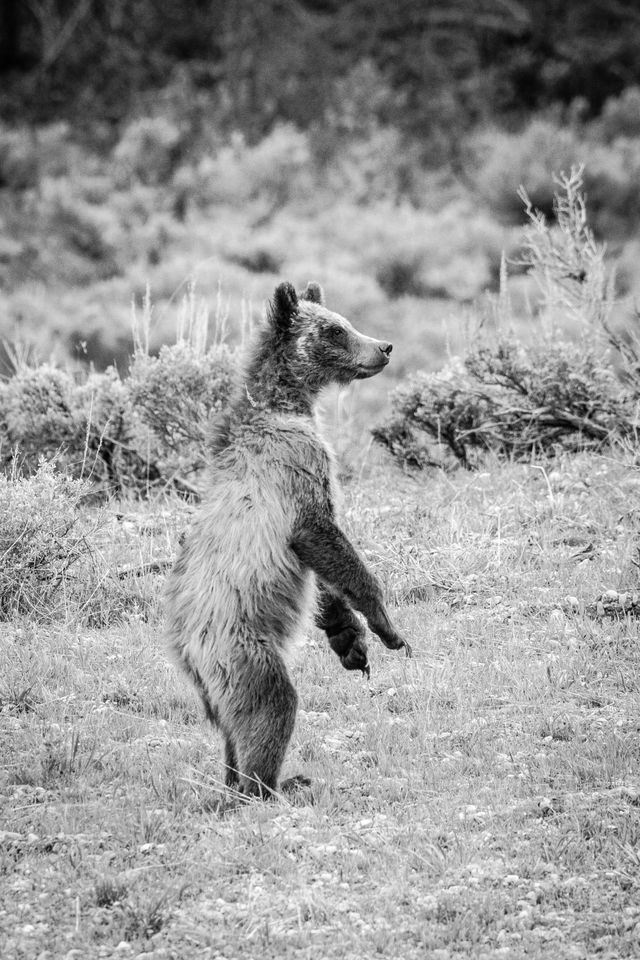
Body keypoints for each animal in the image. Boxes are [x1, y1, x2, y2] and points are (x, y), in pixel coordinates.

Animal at [164, 282, 410, 800]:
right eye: (335, 329)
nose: (383, 347)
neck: (285, 405)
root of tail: (183, 650)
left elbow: (323, 576)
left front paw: (349, 640)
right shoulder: (296, 466)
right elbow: (322, 535)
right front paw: (387, 626)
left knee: (234, 728)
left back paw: (237, 780)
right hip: (239, 648)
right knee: (270, 705)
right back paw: (274, 784)